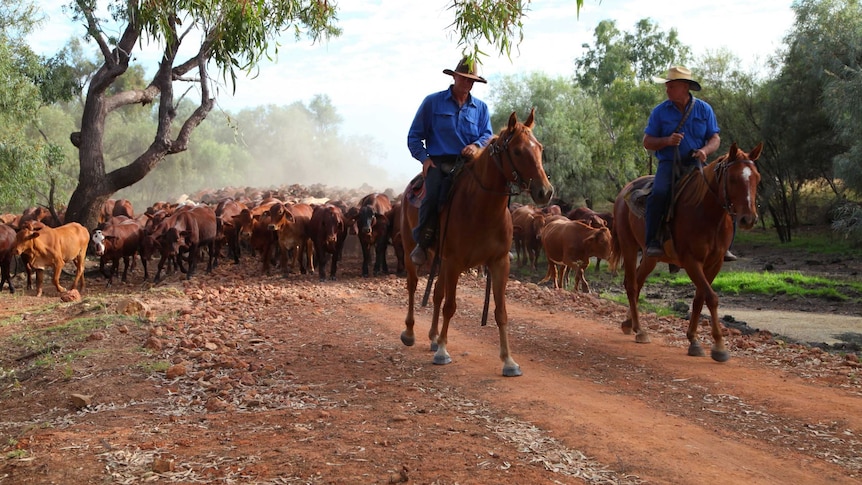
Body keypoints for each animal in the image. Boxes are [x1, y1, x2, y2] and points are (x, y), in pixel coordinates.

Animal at [400, 108, 552, 376]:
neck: (481, 209)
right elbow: (450, 305)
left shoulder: (499, 263)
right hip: (412, 249)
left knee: (436, 293)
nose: (545, 191)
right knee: (413, 285)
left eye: (540, 148)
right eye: (517, 151)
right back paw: (410, 333)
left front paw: (509, 361)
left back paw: (433, 336)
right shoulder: (455, 261)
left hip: (442, 260)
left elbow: (501, 312)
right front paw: (443, 351)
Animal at [612, 142, 768, 362]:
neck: (708, 215)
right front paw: (719, 346)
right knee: (632, 285)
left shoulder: (715, 263)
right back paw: (640, 330)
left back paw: (629, 324)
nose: (748, 219)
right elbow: (711, 297)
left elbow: (699, 298)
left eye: (757, 178)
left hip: (651, 257)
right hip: (629, 246)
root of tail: (623, 192)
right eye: (733, 179)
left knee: (638, 281)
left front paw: (693, 339)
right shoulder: (691, 261)